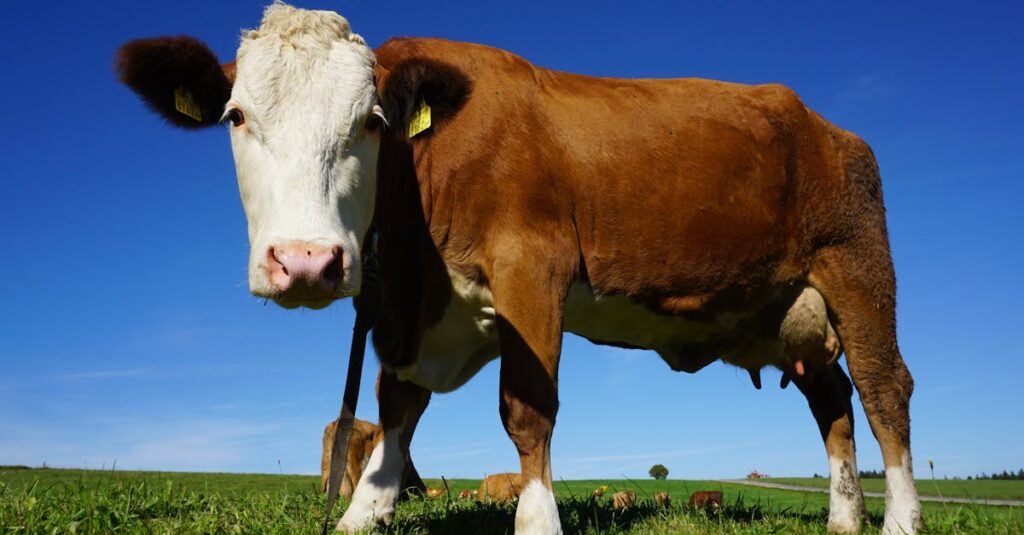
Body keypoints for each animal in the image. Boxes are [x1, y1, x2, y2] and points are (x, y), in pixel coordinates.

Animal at [115, 4, 922, 534]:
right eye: (236, 116)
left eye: (372, 121)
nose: (307, 263)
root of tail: (829, 126)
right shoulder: (411, 311)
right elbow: (395, 409)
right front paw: (361, 512)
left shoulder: (532, 267)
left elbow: (526, 409)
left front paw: (538, 520)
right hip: (787, 311)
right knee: (832, 402)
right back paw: (843, 522)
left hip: (857, 269)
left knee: (884, 393)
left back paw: (900, 520)